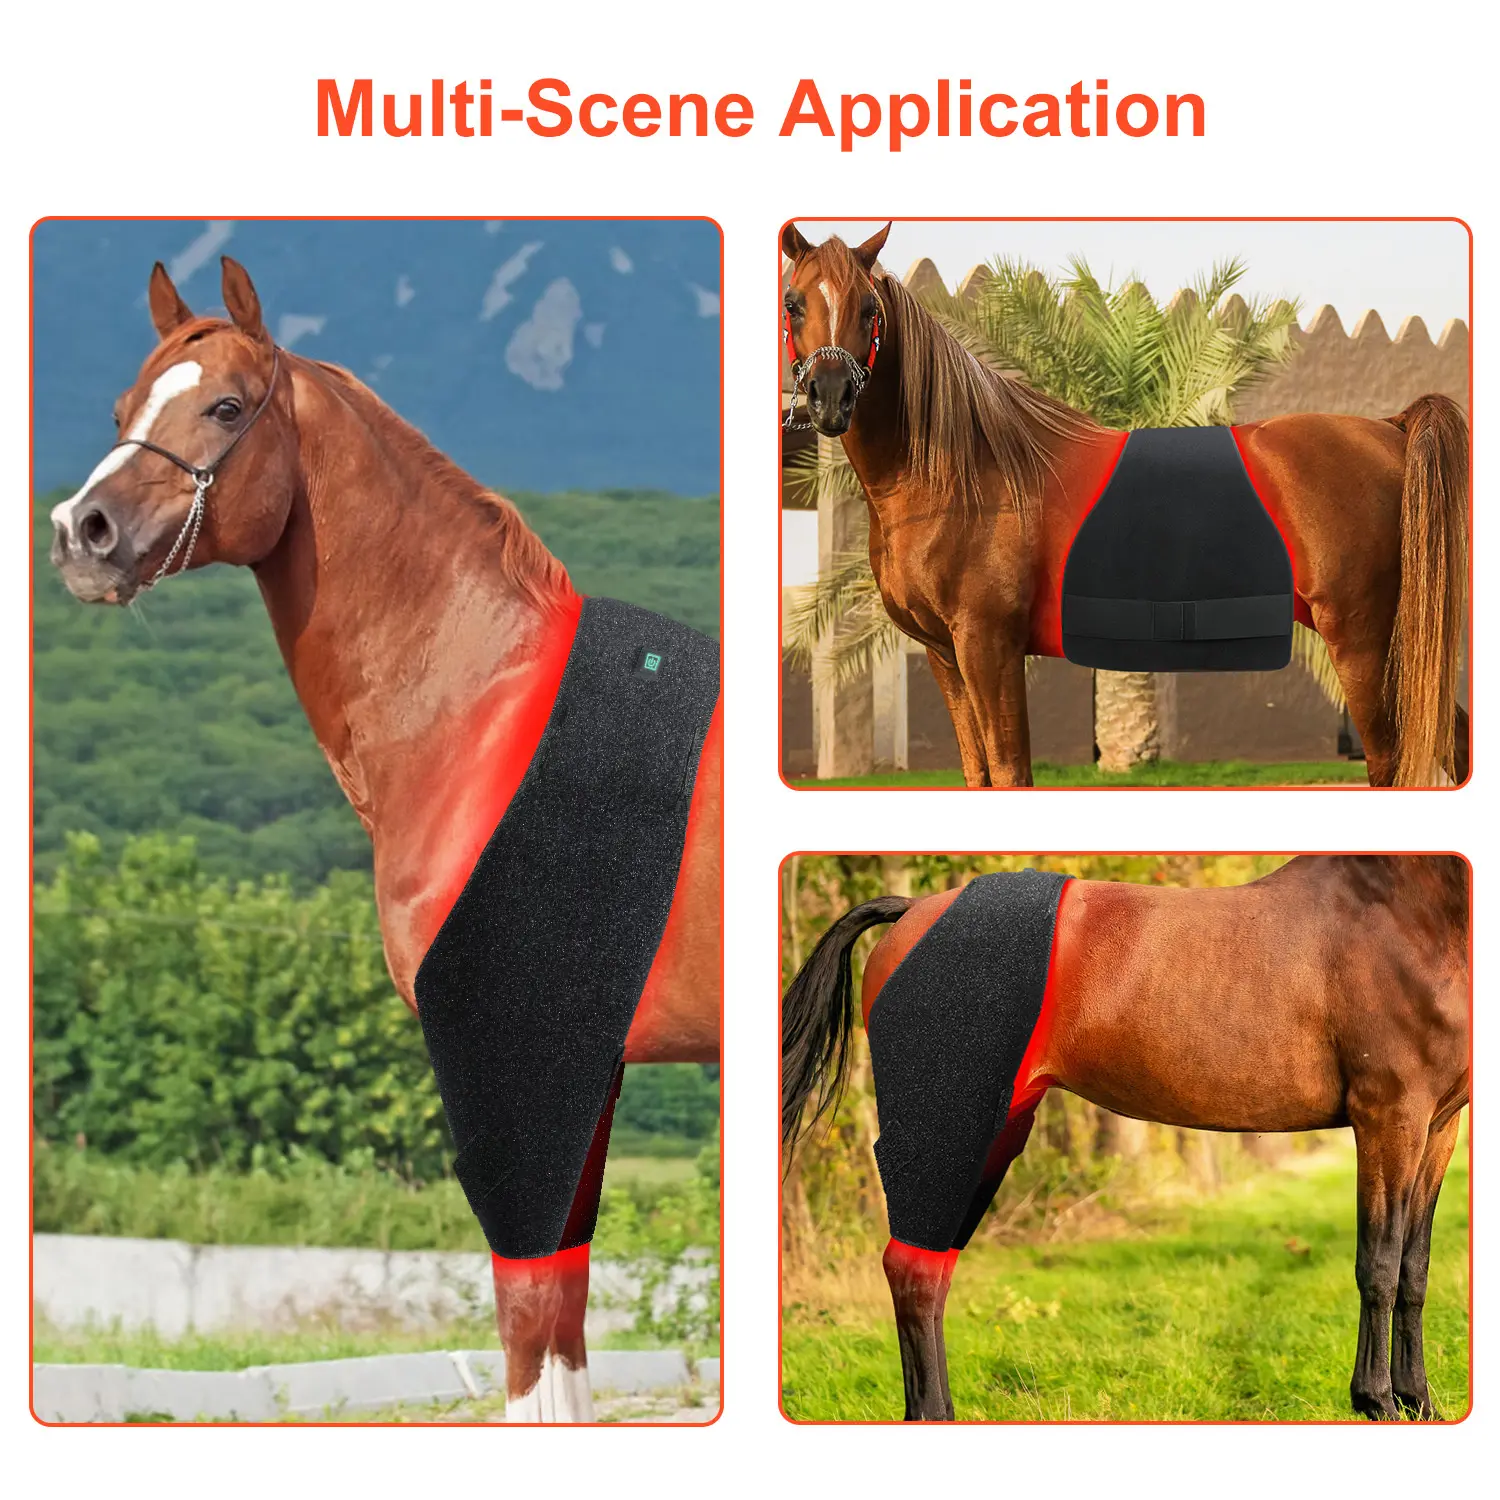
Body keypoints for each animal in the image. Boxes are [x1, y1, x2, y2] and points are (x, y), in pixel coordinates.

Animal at [48, 255, 723, 1423]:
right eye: (124, 408)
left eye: (227, 408)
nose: (78, 531)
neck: (482, 712)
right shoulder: (580, 1072)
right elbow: (565, 1323)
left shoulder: (509, 1062)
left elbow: (530, 1329)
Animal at [781, 224, 1469, 788]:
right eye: (794, 302)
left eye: (869, 309)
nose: (830, 398)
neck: (963, 473)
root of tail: (1389, 429)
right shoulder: (943, 654)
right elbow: (980, 774)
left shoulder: (988, 644)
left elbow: (1010, 772)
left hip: (1363, 640)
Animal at [781, 855, 1469, 1421]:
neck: (1410, 912)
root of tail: (911, 913)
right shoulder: (1389, 1118)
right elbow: (1379, 1263)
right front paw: (1376, 1400)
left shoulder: (1437, 1128)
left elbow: (1415, 1265)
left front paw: (1420, 1400)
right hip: (948, 1128)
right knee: (914, 1270)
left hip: (991, 1134)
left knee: (932, 1270)